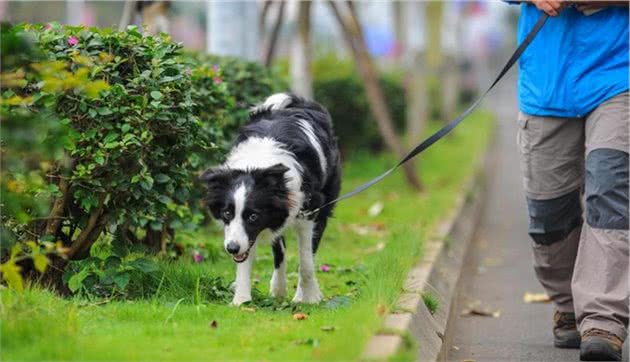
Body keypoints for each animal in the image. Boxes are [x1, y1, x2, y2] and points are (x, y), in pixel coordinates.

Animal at [201, 93, 340, 306]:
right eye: (227, 213)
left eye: (253, 216)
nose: (231, 248)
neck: (259, 164)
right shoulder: (247, 232)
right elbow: (248, 257)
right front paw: (241, 301)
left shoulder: (308, 211)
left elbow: (306, 260)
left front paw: (309, 297)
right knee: (279, 250)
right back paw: (278, 289)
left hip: (324, 202)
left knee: (310, 251)